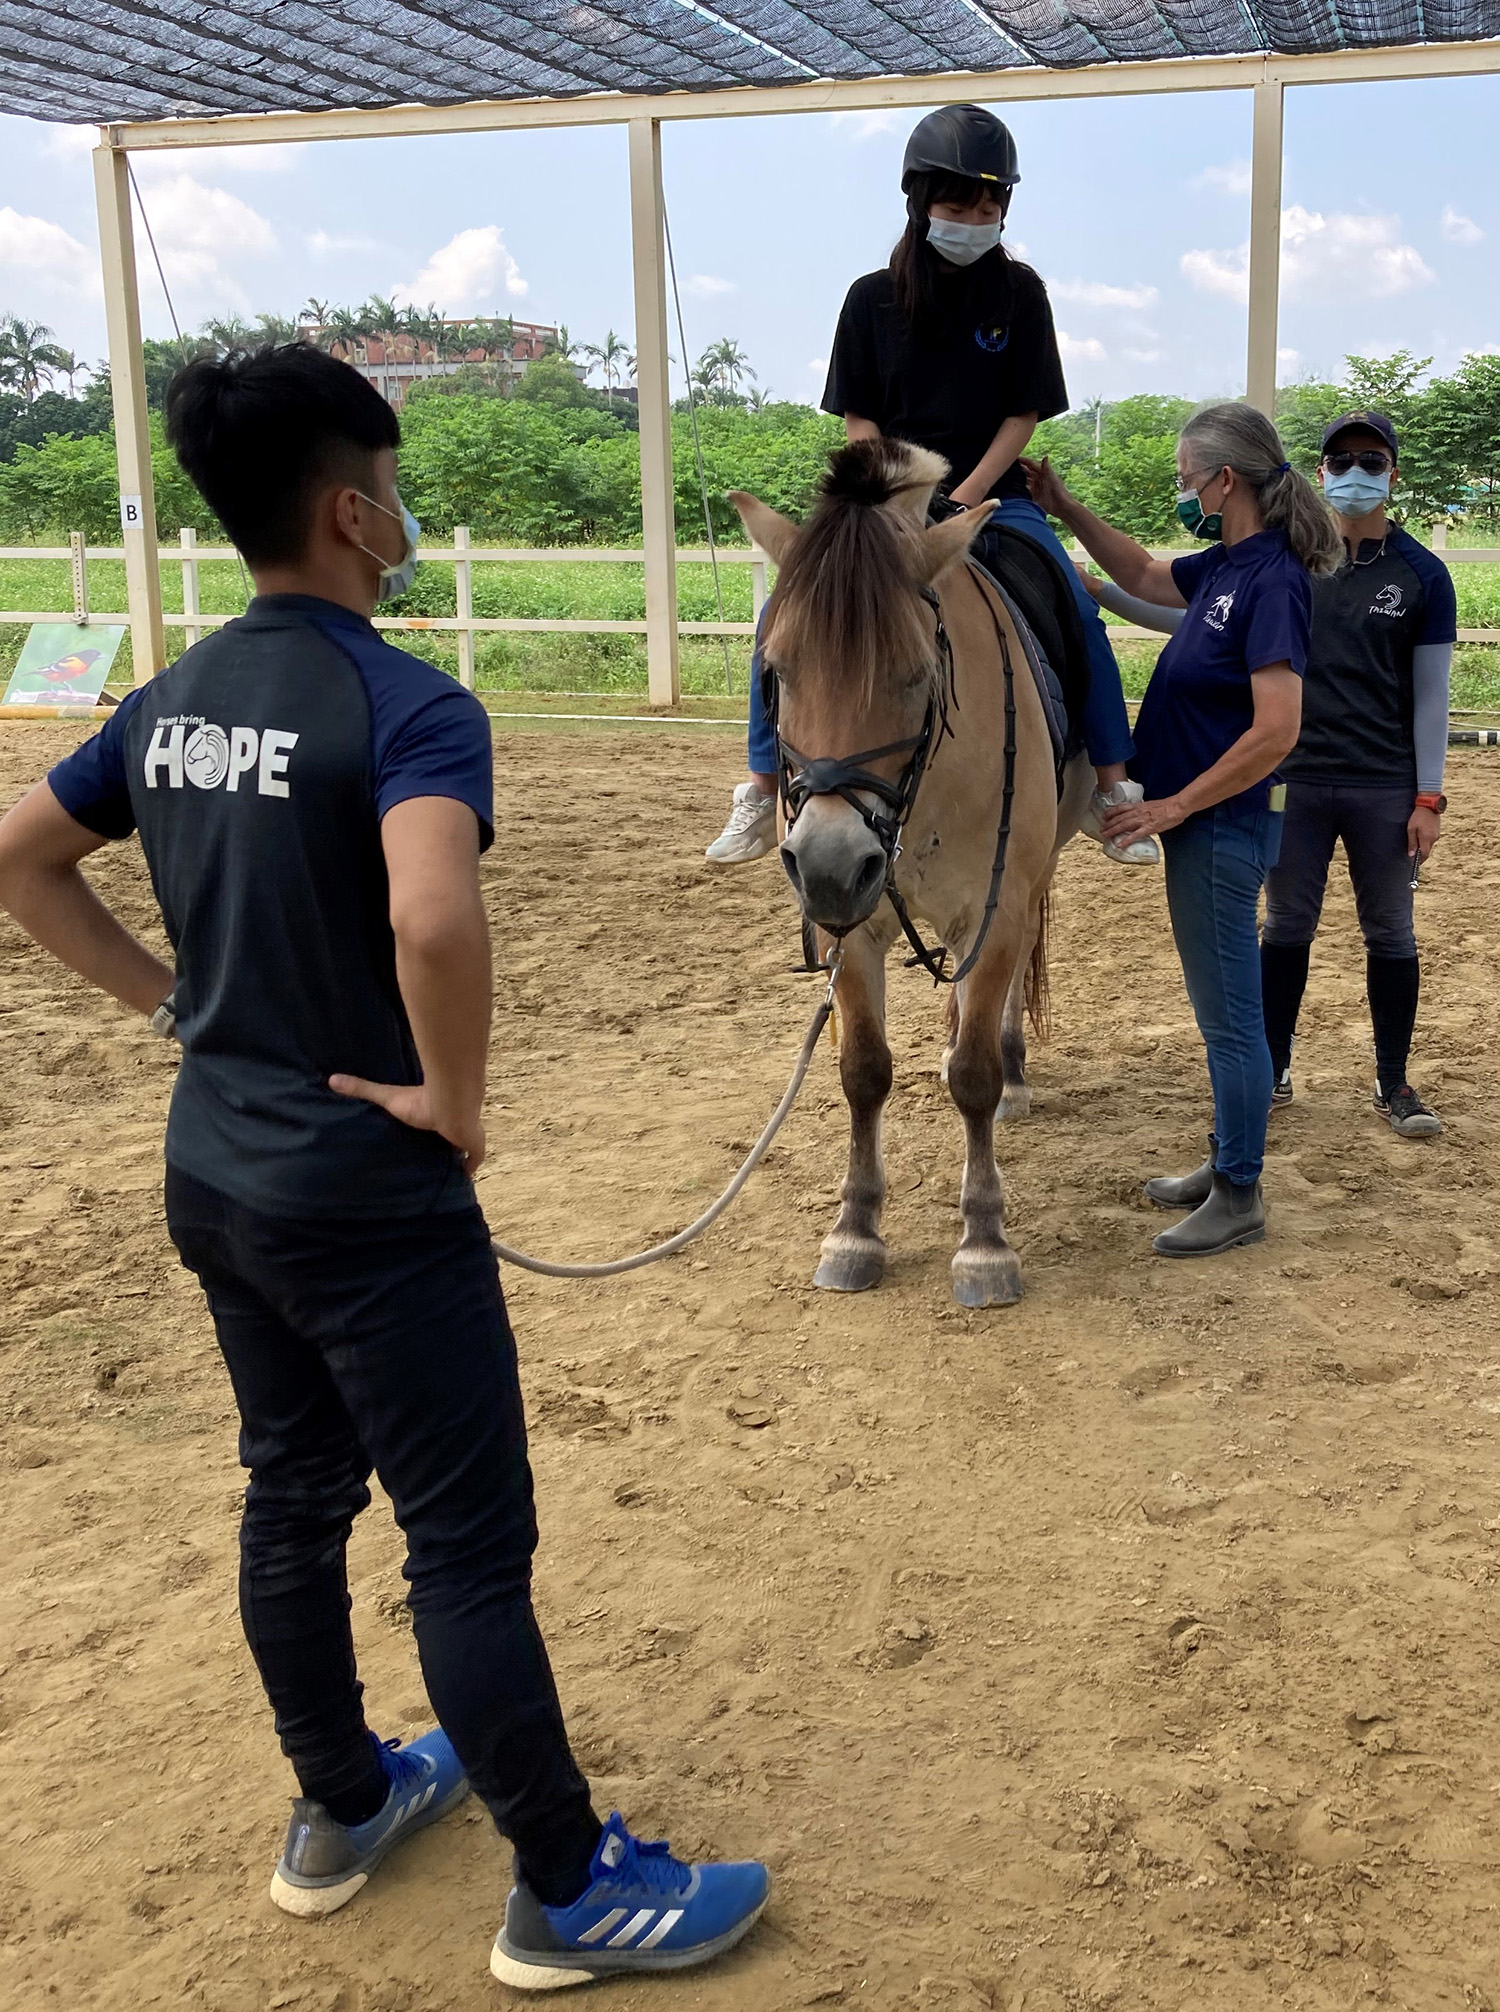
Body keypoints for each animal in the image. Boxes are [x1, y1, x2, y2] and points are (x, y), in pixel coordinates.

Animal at [730, 438, 1089, 1307]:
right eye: (778, 671)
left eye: (916, 673)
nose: (829, 866)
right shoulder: (851, 932)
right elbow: (863, 1071)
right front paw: (854, 1229)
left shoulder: (994, 913)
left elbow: (975, 1077)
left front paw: (985, 1241)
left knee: (998, 1017)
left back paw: (1014, 1071)